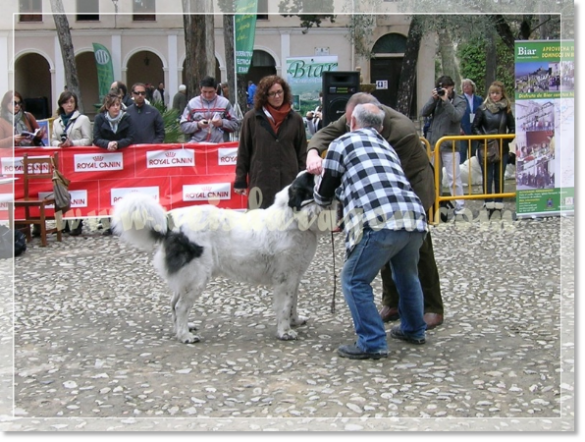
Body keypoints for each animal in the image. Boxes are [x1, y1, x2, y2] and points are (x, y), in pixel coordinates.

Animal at [112, 171, 330, 344]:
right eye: (312, 178)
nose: (321, 166)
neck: (293, 218)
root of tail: (170, 226)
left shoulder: (295, 276)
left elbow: (293, 301)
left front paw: (296, 320)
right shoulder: (285, 277)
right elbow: (284, 306)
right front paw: (285, 332)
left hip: (186, 277)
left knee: (174, 303)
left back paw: (183, 329)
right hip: (197, 276)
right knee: (181, 306)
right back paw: (185, 337)